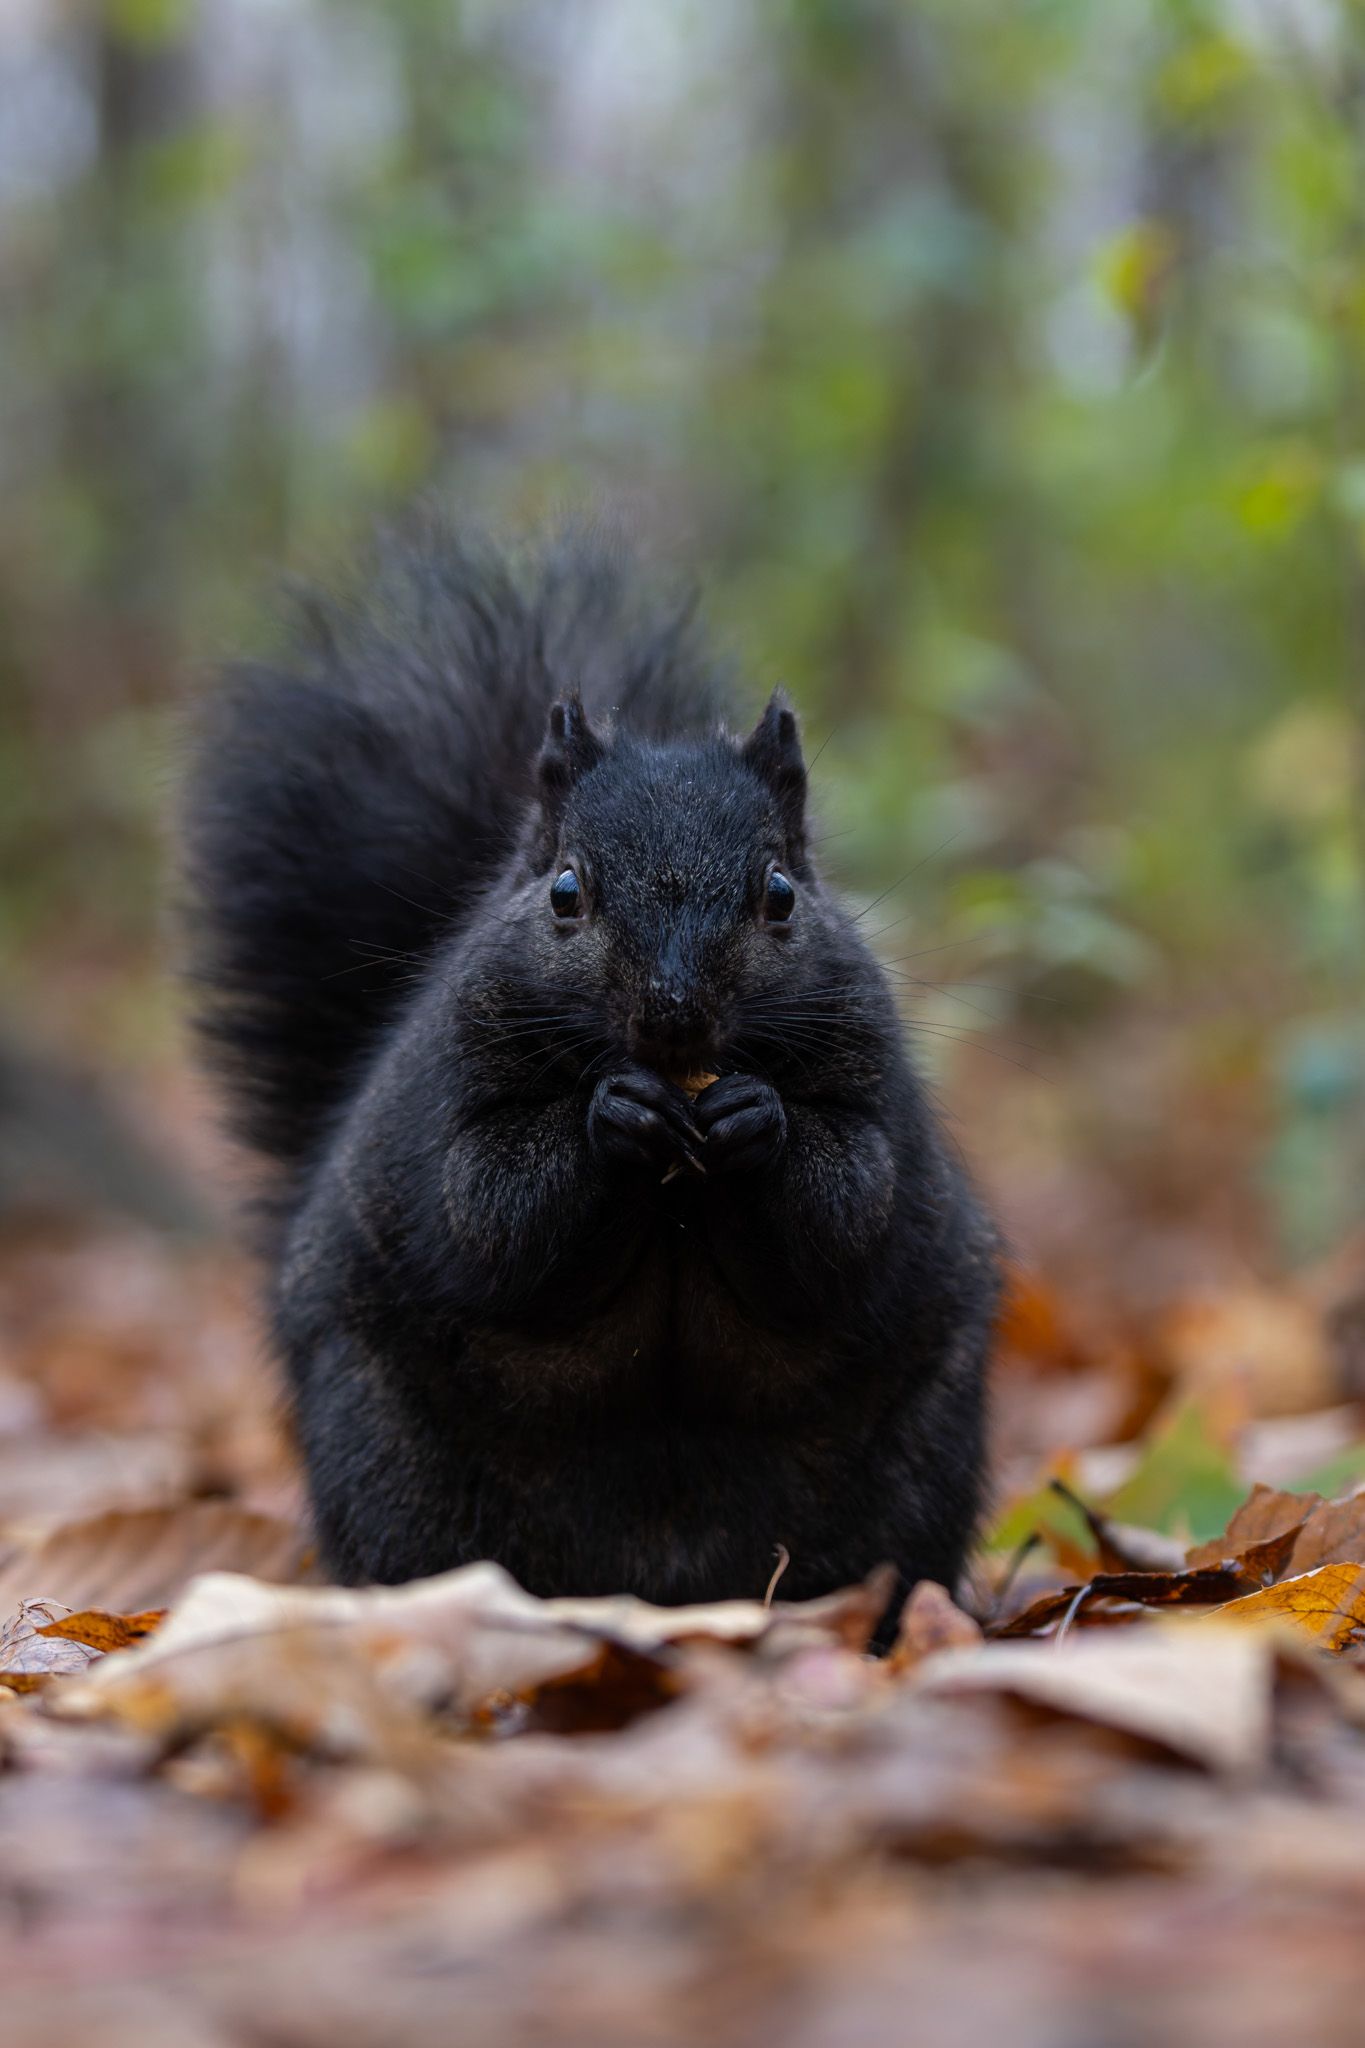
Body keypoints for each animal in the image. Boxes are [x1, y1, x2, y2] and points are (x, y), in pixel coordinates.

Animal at [181, 522, 1000, 1635]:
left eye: (781, 893)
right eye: (565, 890)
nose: (672, 1012)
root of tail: (658, 1589)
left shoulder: (863, 1076)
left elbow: (849, 1199)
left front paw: (757, 1119)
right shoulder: (456, 1084)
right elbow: (487, 1205)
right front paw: (610, 1120)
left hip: (919, 1465)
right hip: (386, 1458)